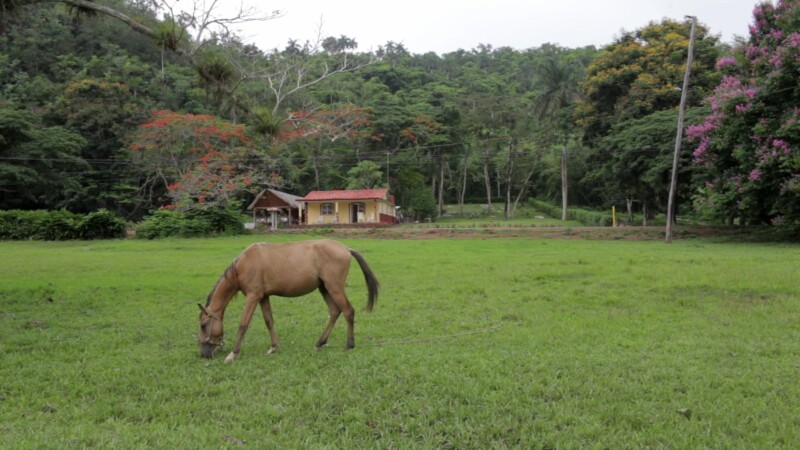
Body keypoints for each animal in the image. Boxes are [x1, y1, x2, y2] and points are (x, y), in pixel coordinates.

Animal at [197, 239, 379, 363]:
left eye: (203, 325)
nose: (203, 354)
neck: (244, 264)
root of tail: (346, 249)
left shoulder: (253, 297)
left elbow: (243, 324)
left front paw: (233, 354)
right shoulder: (263, 297)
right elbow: (269, 321)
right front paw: (273, 347)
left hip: (334, 287)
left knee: (348, 311)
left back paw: (349, 344)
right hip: (324, 288)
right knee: (335, 312)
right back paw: (320, 342)